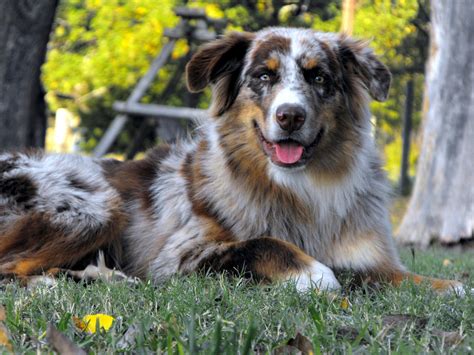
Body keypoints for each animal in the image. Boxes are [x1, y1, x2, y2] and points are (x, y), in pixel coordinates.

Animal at [0, 27, 466, 294]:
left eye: (319, 77)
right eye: (263, 76)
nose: (290, 115)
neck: (302, 190)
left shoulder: (368, 256)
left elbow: (405, 277)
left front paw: (445, 284)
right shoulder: (181, 256)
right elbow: (264, 244)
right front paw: (316, 275)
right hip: (94, 206)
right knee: (10, 267)